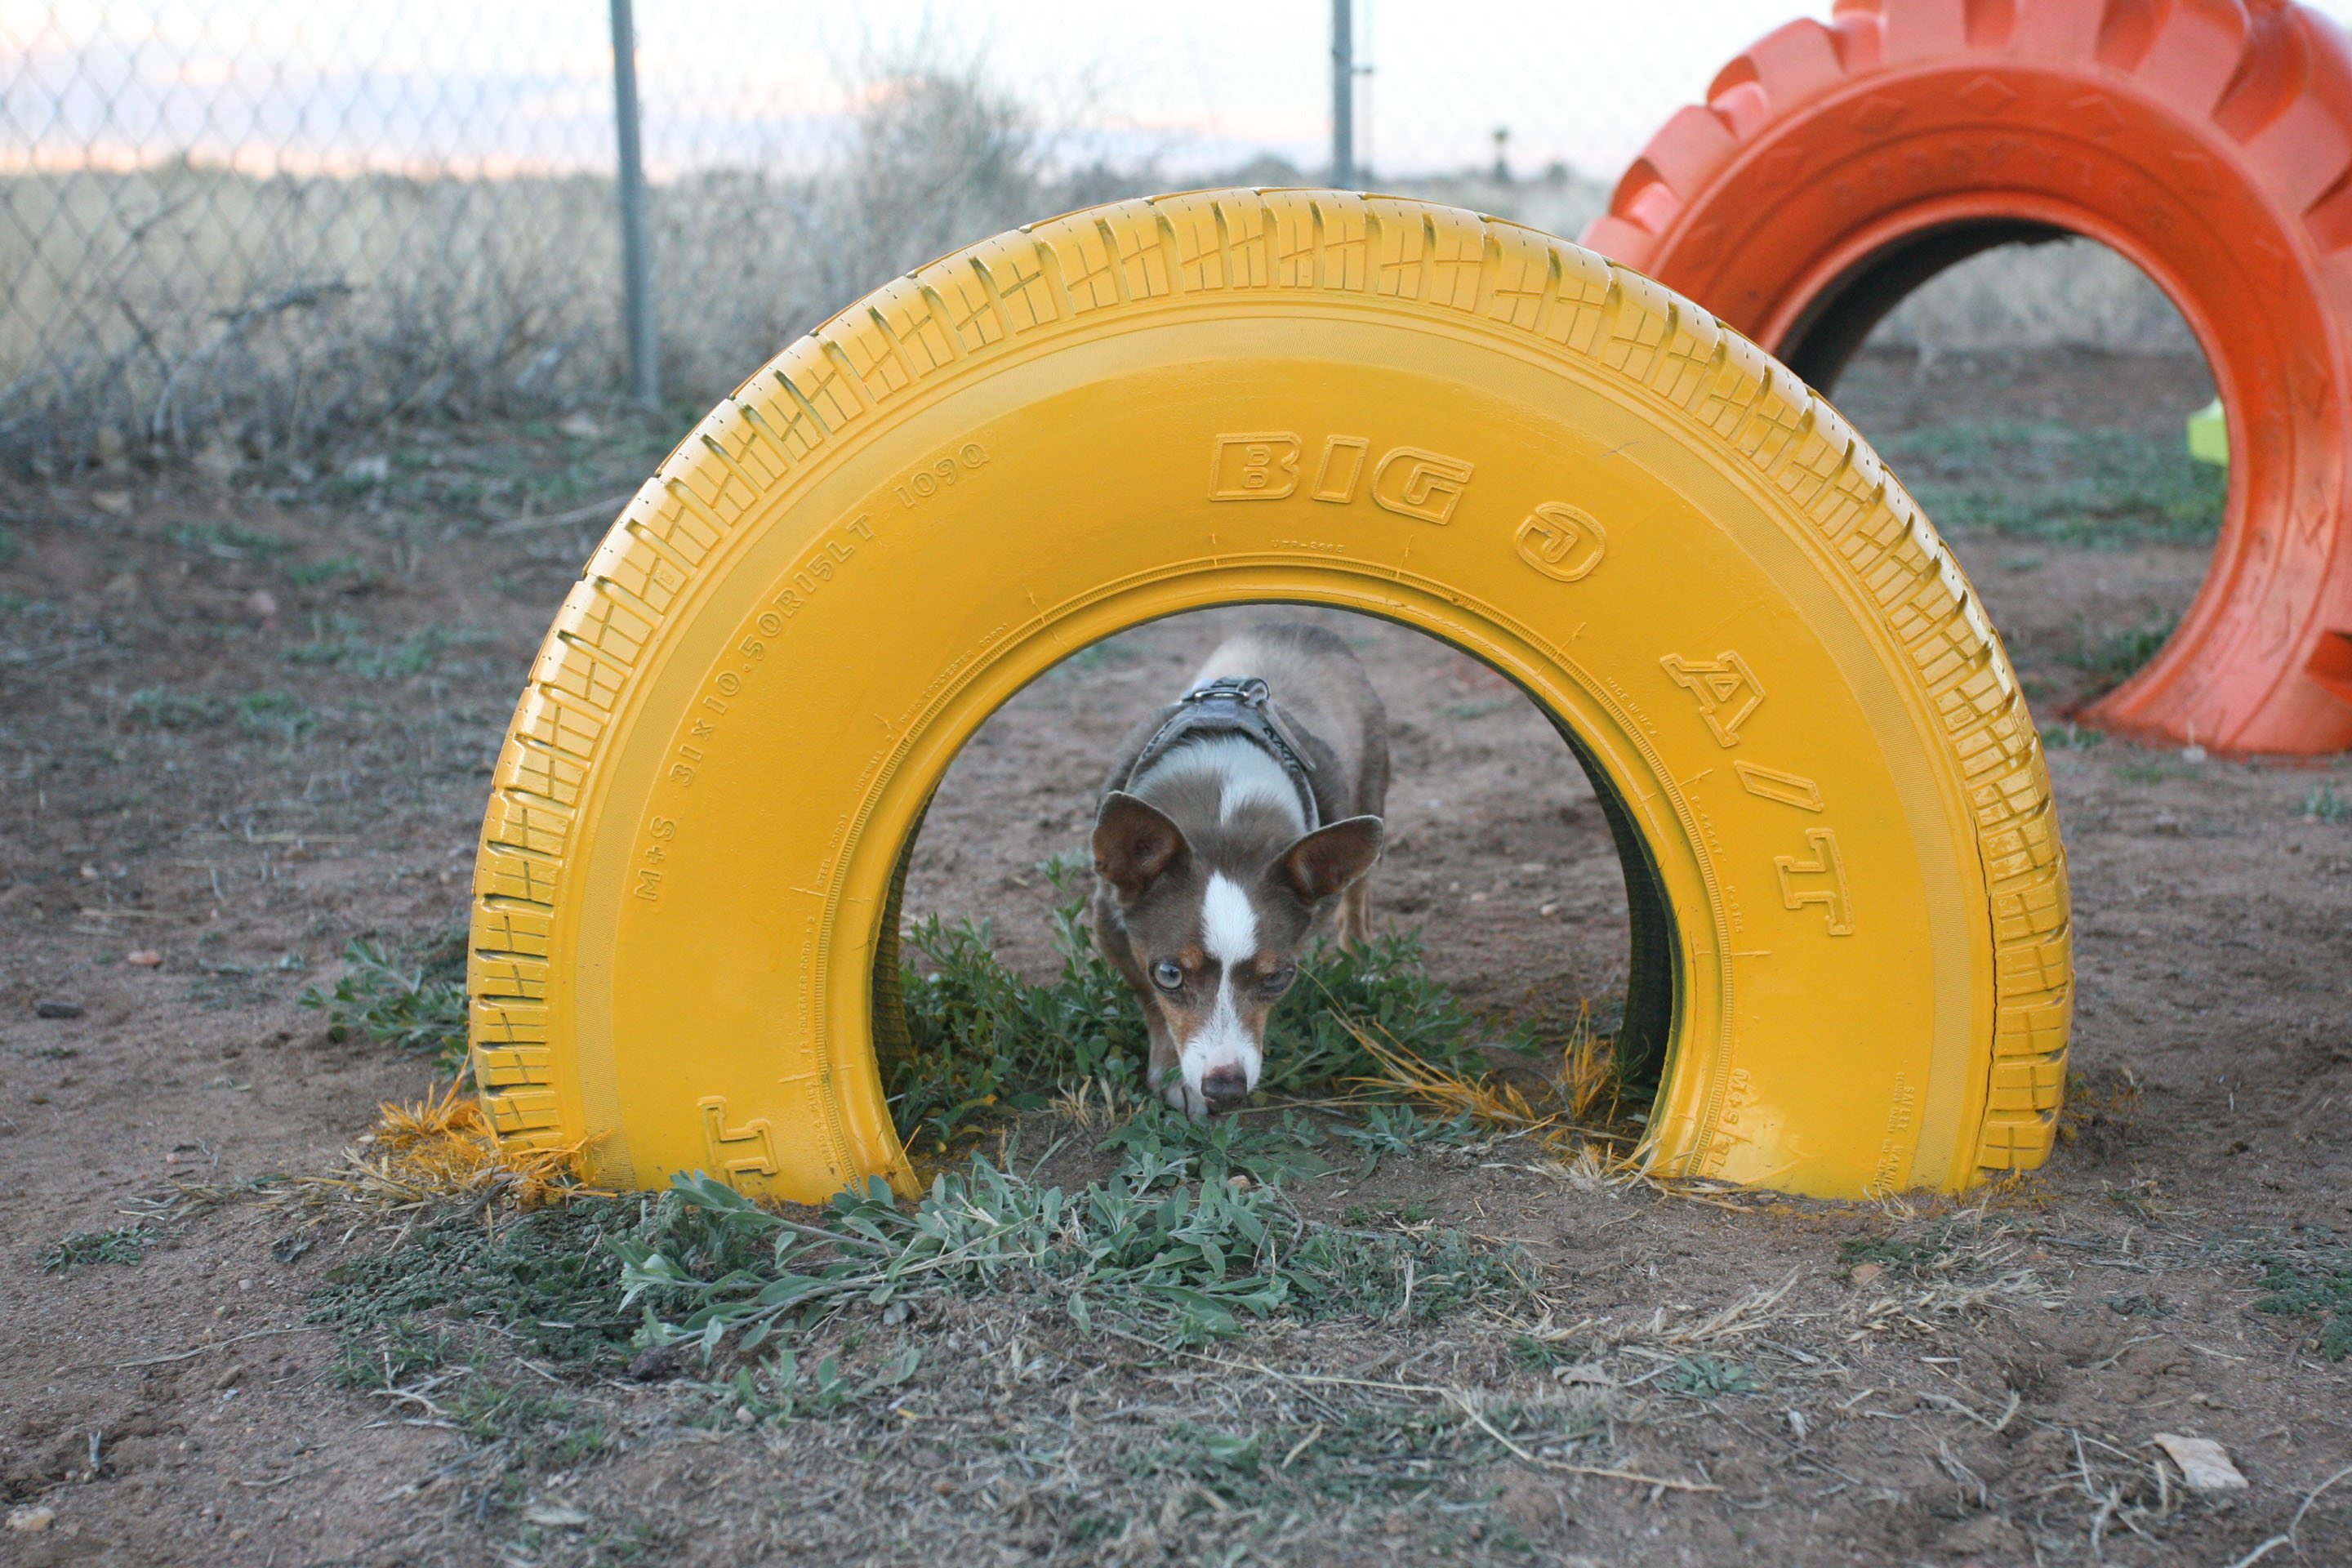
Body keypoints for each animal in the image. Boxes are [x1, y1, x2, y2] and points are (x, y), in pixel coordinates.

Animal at [1086, 620, 1383, 1123]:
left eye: (1278, 979)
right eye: (1169, 973)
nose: (1225, 1088)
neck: (1223, 822)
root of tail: (1299, 625)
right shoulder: (1112, 920)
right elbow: (1152, 1002)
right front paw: (1173, 1074)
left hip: (1372, 785)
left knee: (1360, 890)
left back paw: (1359, 955)